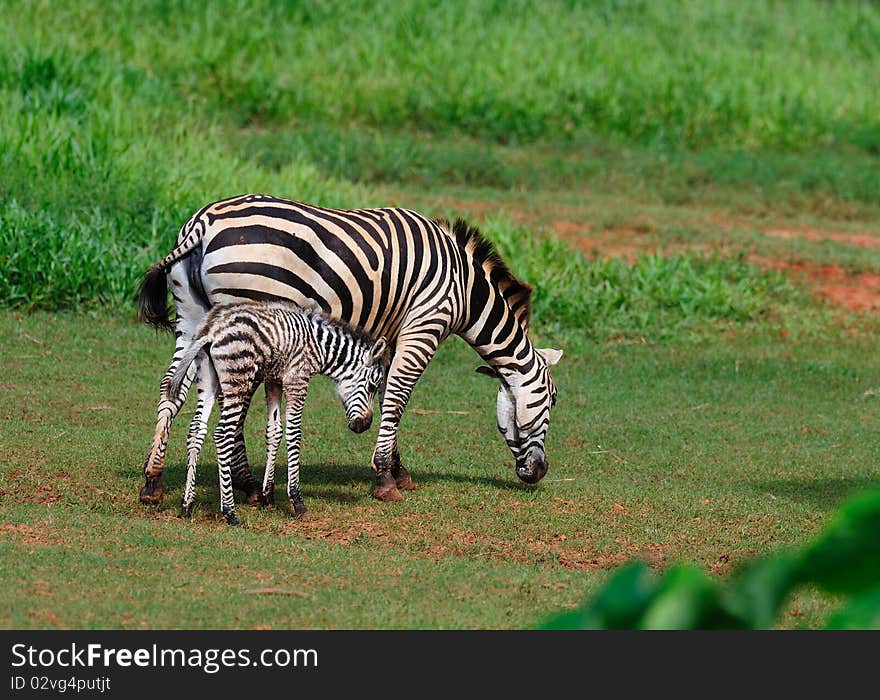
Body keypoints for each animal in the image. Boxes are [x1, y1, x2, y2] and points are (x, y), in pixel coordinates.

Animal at [170, 300, 386, 524]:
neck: (318, 346)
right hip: (238, 380)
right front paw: (297, 501)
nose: (364, 426)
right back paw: (229, 512)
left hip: (207, 379)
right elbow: (293, 434)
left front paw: (268, 497)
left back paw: (187, 505)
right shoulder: (297, 381)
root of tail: (212, 329)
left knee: (196, 430)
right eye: (372, 386)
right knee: (222, 435)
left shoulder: (273, 381)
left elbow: (274, 432)